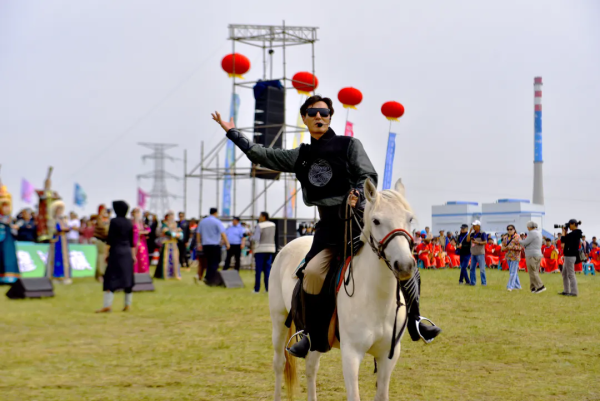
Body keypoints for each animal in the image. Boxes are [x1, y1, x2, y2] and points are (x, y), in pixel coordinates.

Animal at [268, 179, 414, 400]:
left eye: (410, 218)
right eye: (376, 221)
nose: (405, 265)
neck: (376, 300)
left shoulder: (388, 357)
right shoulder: (351, 354)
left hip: (317, 336)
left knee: (311, 367)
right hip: (279, 320)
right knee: (279, 364)